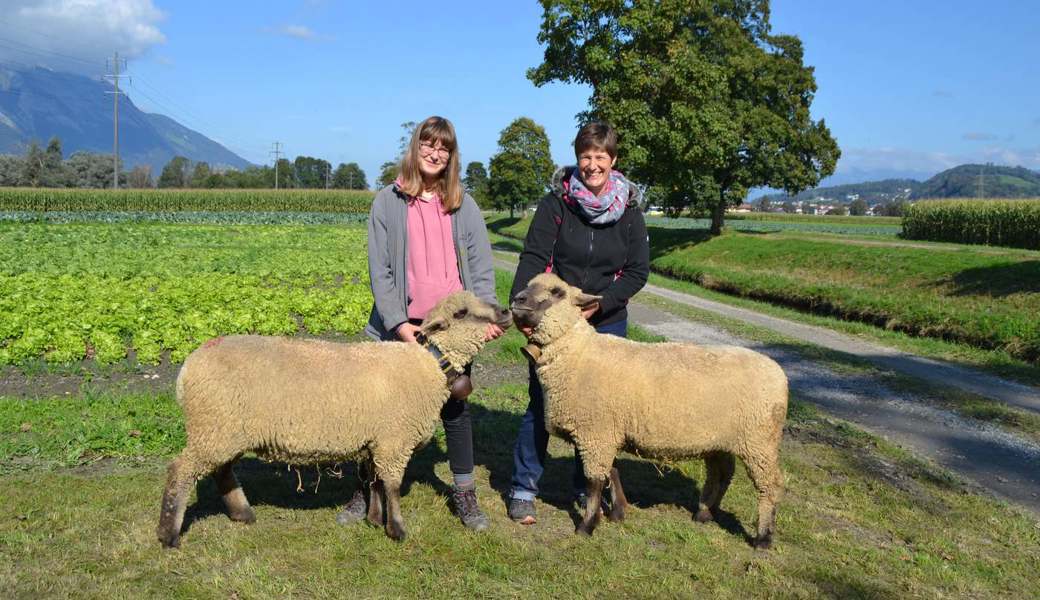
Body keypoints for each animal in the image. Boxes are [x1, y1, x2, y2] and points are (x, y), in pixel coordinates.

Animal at [156, 291, 509, 549]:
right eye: (461, 312)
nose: (506, 312)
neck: (430, 364)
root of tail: (188, 367)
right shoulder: (393, 440)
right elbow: (393, 485)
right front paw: (396, 529)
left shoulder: (377, 439)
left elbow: (375, 481)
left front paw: (374, 519)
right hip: (214, 427)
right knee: (180, 471)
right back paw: (168, 534)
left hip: (224, 429)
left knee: (222, 470)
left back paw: (242, 514)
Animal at [511, 272, 786, 549]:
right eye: (529, 284)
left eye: (557, 292)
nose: (517, 299)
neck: (577, 354)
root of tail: (778, 372)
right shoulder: (607, 432)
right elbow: (612, 471)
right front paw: (618, 512)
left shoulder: (597, 433)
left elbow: (594, 482)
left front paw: (587, 526)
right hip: (719, 439)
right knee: (722, 473)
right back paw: (705, 513)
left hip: (759, 440)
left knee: (769, 485)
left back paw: (763, 538)